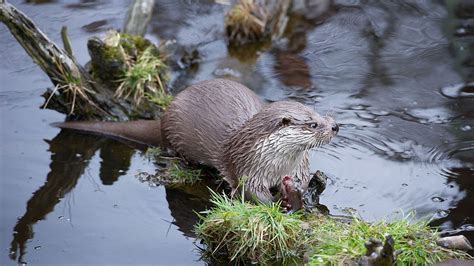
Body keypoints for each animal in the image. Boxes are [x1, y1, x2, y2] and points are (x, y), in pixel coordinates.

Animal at [54, 79, 336, 210]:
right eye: (313, 124)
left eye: (320, 114)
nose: (335, 126)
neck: (277, 165)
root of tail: (163, 117)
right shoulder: (246, 167)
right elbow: (253, 194)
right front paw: (279, 202)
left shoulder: (298, 166)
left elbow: (303, 182)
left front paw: (297, 192)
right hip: (172, 133)